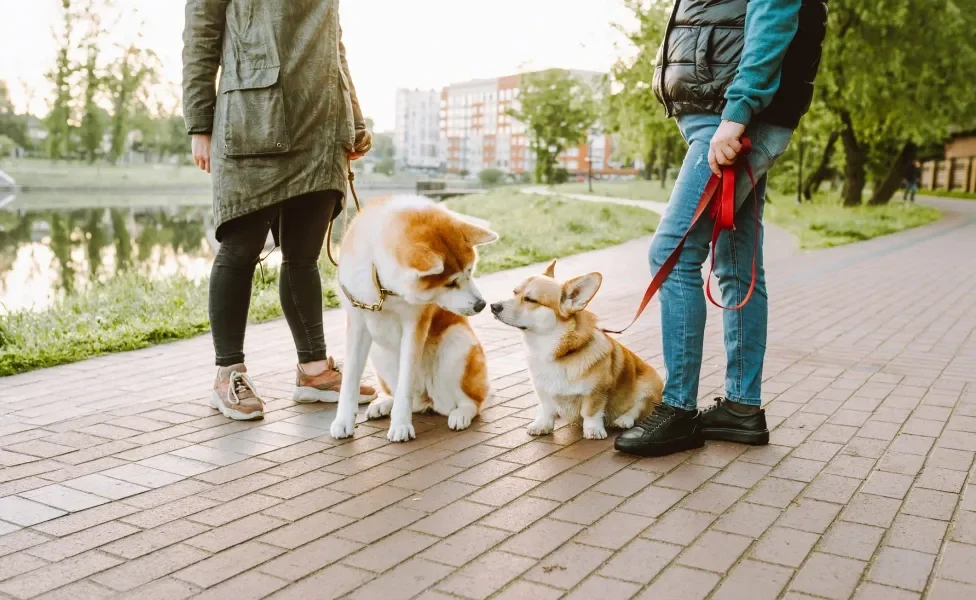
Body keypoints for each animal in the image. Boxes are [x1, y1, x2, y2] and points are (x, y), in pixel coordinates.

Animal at [330, 195, 496, 442]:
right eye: (450, 283)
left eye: (470, 271)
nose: (481, 305)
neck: (383, 288)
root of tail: (429, 399)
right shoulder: (357, 320)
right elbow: (349, 379)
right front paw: (342, 421)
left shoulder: (415, 324)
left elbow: (405, 383)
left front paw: (400, 424)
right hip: (379, 353)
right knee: (407, 398)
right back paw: (384, 404)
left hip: (457, 342)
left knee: (472, 402)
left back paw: (460, 414)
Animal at [488, 258, 664, 440]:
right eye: (514, 292)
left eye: (530, 300)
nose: (493, 306)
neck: (550, 347)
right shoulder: (542, 390)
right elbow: (546, 409)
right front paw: (542, 424)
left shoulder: (596, 392)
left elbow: (591, 412)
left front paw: (593, 430)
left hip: (650, 387)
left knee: (639, 407)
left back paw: (624, 420)